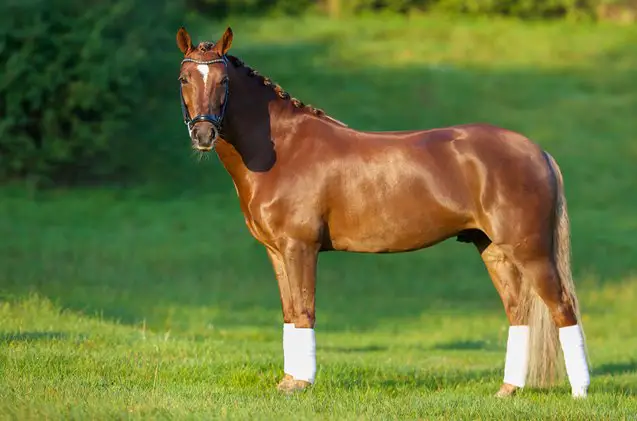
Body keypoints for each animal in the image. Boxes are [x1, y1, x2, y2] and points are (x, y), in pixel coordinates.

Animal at [175, 26, 592, 398]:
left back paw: (580, 392)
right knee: (518, 312)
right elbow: (290, 313)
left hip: (530, 250)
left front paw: (301, 384)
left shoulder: (300, 247)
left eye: (223, 81)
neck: (283, 149)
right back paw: (508, 390)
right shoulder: (276, 251)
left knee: (563, 308)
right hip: (493, 249)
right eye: (184, 79)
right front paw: (288, 381)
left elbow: (305, 311)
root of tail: (537, 151)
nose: (203, 135)